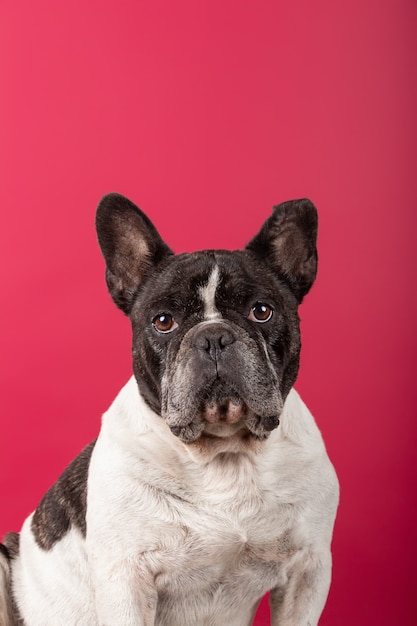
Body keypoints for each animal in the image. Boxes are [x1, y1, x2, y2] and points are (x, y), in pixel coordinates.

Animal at [0, 193, 338, 620]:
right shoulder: (127, 579)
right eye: (164, 321)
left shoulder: (308, 570)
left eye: (262, 311)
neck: (225, 456)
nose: (213, 336)